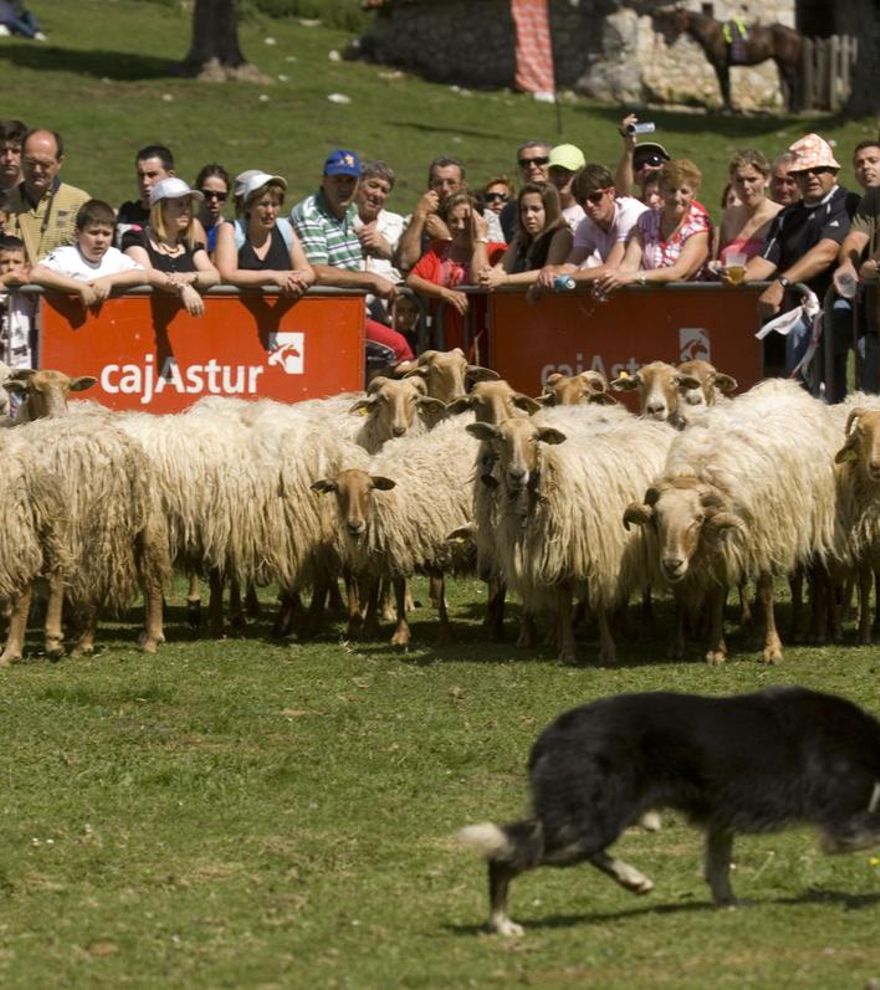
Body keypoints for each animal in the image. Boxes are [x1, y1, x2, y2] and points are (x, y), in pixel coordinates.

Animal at [458, 688, 880, 936]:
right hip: (590, 823)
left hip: (594, 819)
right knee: (505, 859)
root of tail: (550, 737)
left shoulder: (721, 818)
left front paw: (728, 904)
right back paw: (501, 924)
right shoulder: (841, 826)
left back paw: (632, 879)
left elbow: (717, 868)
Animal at [652, 5, 804, 113]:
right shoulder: (721, 66)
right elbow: (724, 86)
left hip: (787, 64)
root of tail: (795, 33)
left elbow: (725, 86)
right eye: (669, 20)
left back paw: (794, 110)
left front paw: (726, 110)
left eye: (676, 21)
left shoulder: (721, 65)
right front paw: (728, 108)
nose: (667, 40)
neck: (712, 34)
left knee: (794, 83)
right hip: (781, 63)